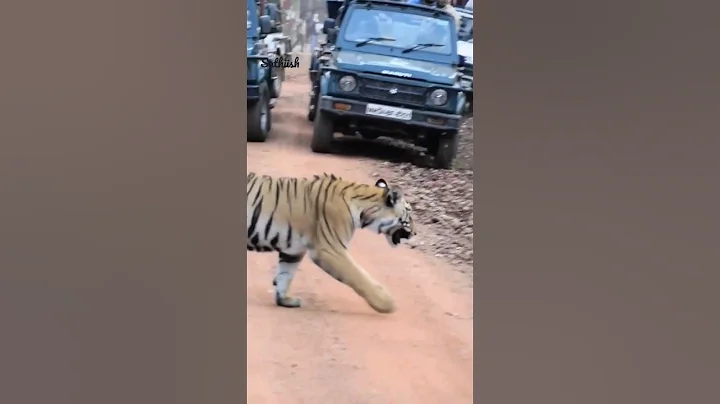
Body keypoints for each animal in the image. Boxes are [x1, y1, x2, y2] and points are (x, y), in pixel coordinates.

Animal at [246, 172, 416, 314]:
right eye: (410, 214)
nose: (415, 233)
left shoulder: (293, 250)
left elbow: (285, 274)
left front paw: (285, 300)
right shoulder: (330, 250)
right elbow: (359, 277)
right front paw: (387, 304)